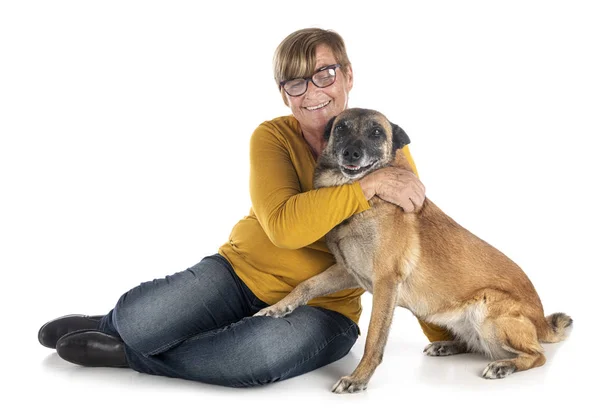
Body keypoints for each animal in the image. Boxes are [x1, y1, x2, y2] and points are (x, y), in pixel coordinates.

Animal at [253, 107, 572, 392]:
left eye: (376, 132)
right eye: (341, 128)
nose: (351, 153)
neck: (365, 199)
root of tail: (541, 319)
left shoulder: (385, 283)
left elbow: (374, 337)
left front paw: (358, 378)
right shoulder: (347, 271)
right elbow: (306, 286)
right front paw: (278, 308)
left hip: (489, 312)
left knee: (537, 355)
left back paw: (504, 366)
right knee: (477, 345)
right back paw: (448, 346)